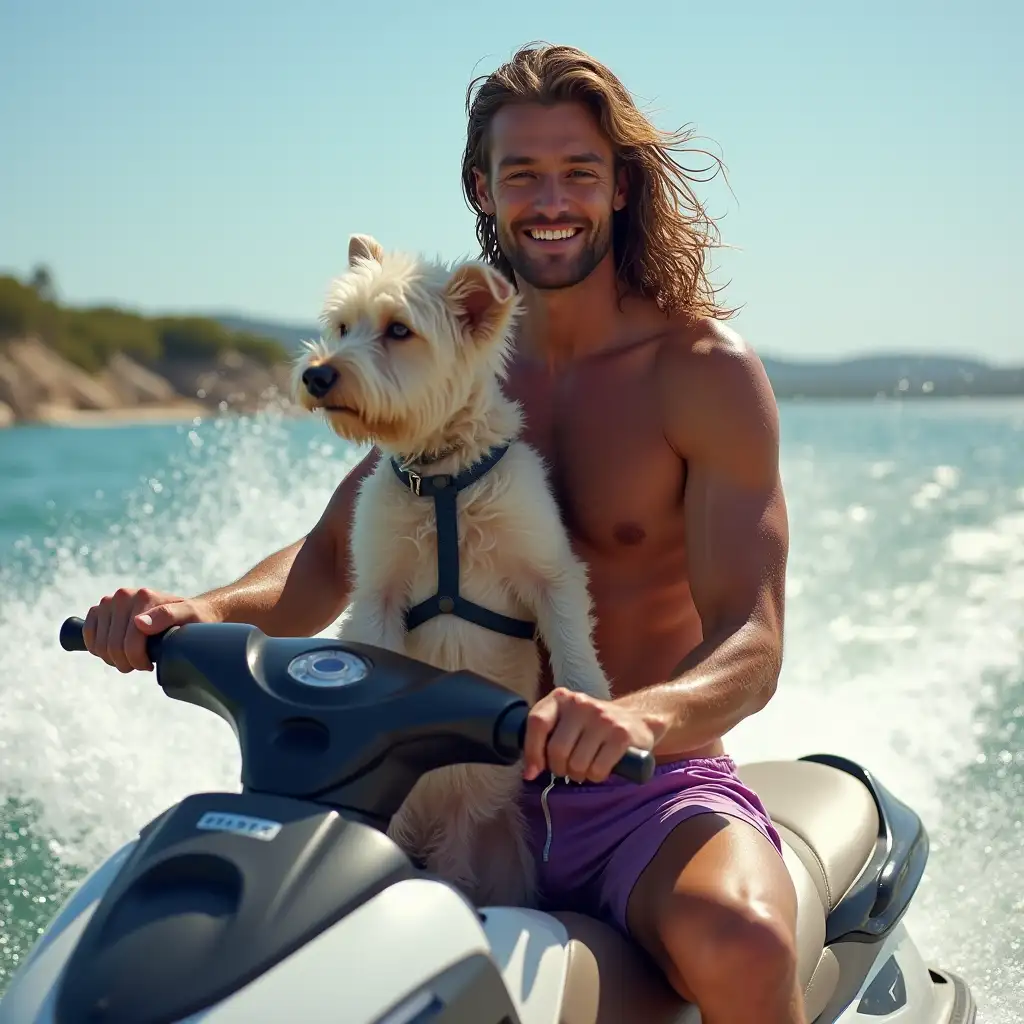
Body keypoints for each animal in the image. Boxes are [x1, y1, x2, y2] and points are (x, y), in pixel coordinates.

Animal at [294, 232, 614, 905]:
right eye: (343, 326)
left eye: (399, 330)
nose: (316, 374)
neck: (441, 476)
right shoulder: (378, 589)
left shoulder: (548, 564)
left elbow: (569, 632)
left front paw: (589, 707)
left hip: (497, 849)